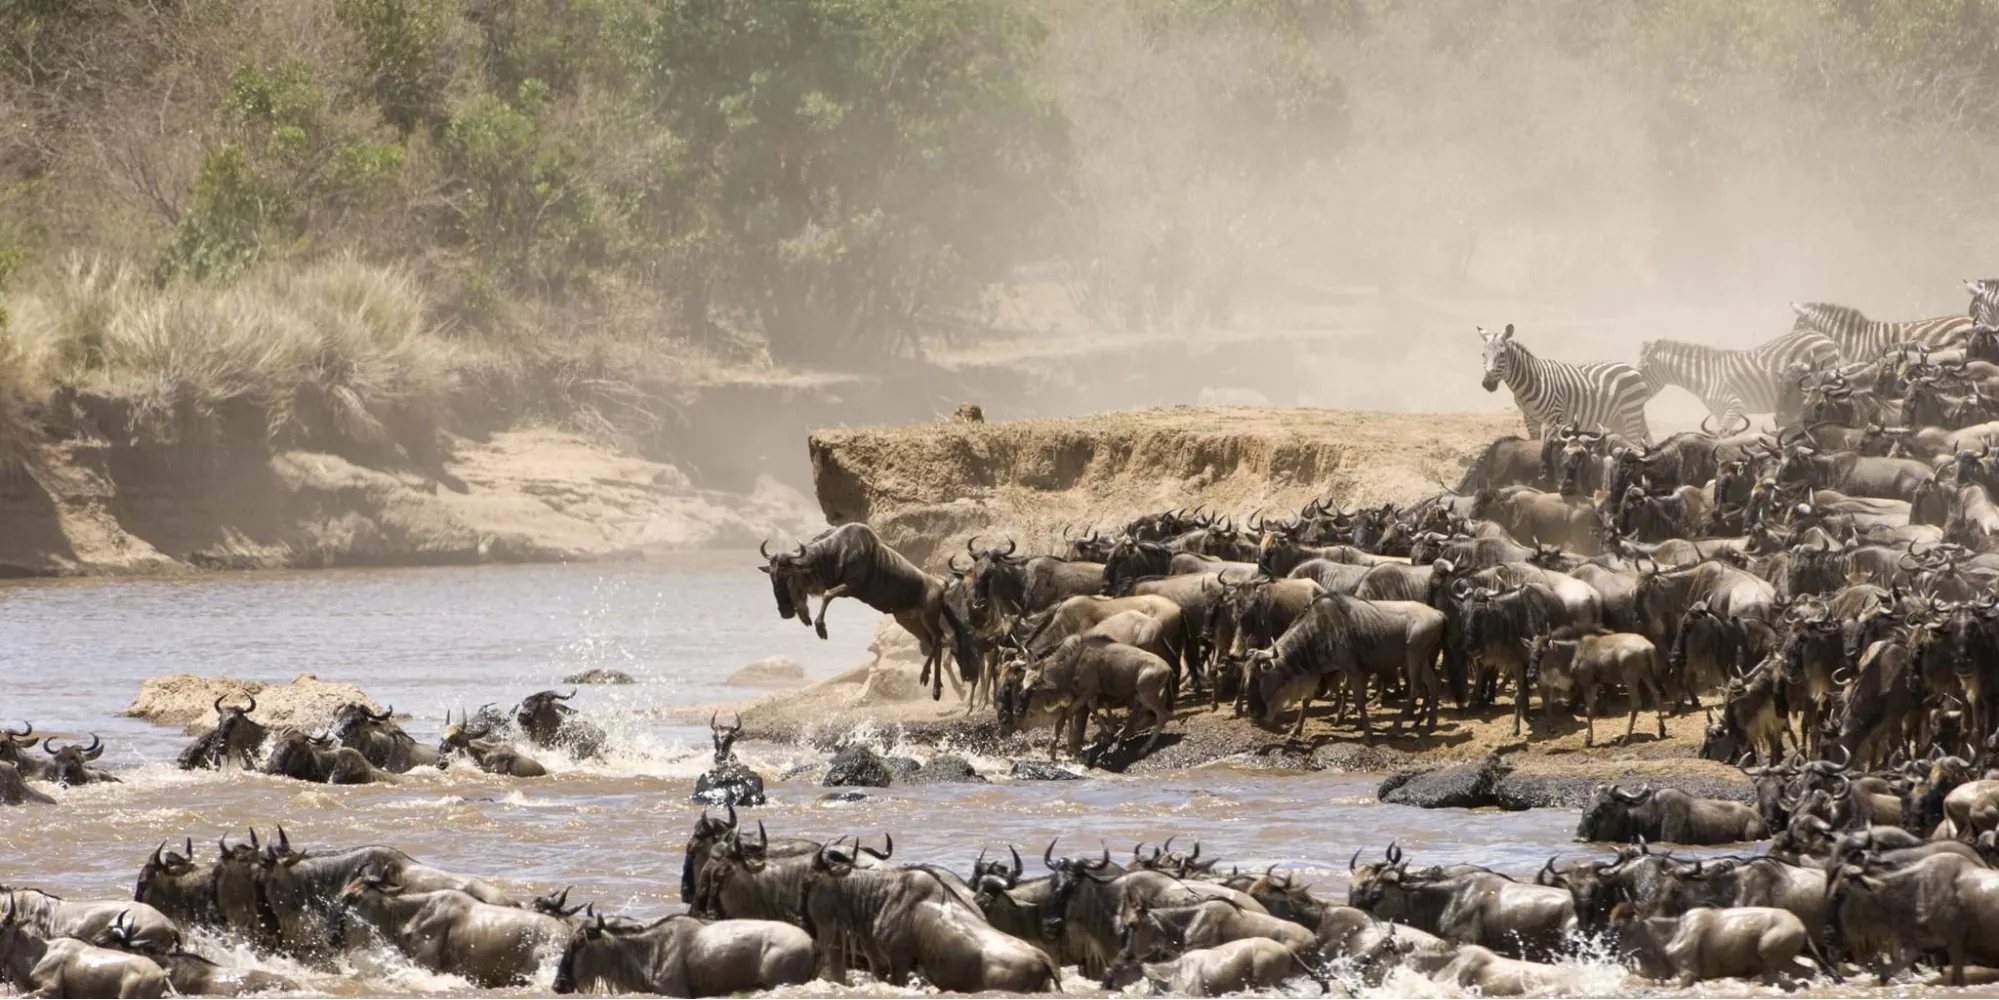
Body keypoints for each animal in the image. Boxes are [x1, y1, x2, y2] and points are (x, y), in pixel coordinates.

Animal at [1479, 324, 1647, 442]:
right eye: (1483, 355)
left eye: (1502, 355)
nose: (1487, 384)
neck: (1531, 382)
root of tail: (1631, 368)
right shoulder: (1530, 419)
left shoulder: (1557, 419)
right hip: (1617, 419)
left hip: (1630, 414)